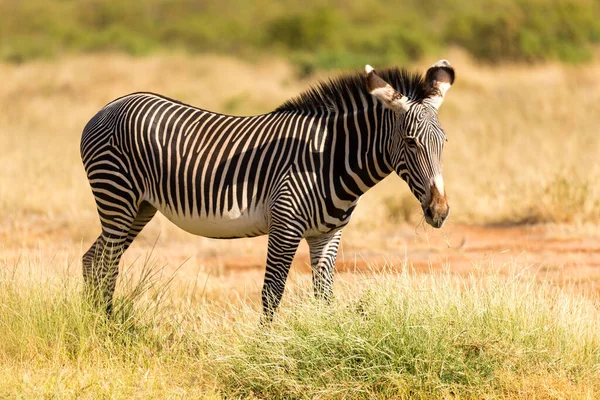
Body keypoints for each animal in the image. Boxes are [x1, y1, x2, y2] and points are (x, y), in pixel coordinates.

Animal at [81, 59, 454, 320]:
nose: (439, 212)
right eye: (410, 142)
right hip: (116, 195)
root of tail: (110, 105)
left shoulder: (328, 234)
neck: (328, 158)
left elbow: (324, 296)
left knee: (93, 259)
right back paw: (106, 329)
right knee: (107, 264)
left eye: (444, 142)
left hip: (139, 207)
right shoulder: (285, 225)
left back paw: (96, 323)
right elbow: (271, 293)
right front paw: (265, 352)